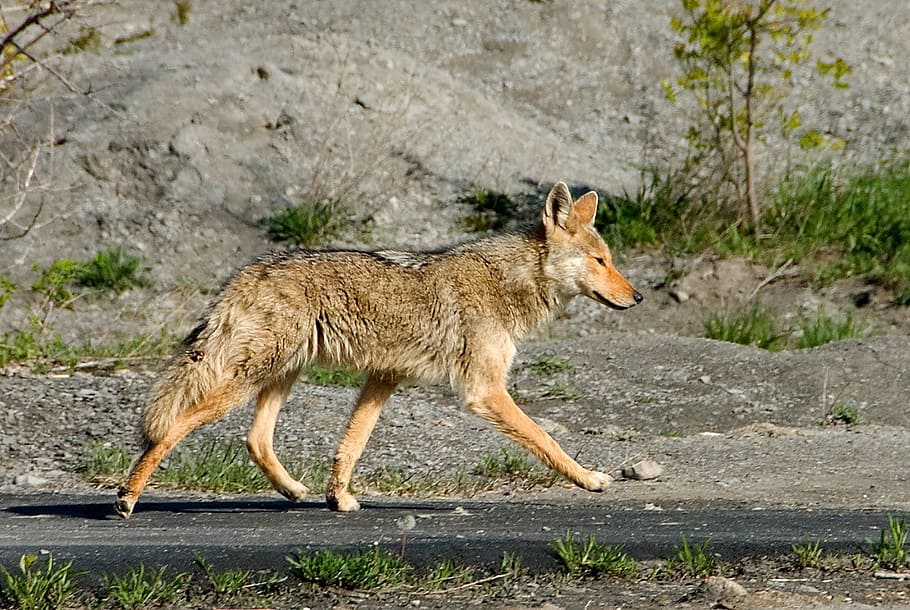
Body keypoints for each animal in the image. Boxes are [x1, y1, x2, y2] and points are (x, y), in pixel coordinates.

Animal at [114, 181, 642, 518]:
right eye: (600, 261)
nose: (637, 297)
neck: (508, 284)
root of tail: (253, 269)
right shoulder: (484, 391)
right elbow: (547, 440)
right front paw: (590, 478)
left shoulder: (384, 378)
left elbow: (351, 446)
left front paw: (339, 499)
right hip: (248, 379)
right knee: (173, 428)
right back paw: (127, 497)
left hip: (280, 375)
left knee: (255, 439)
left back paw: (295, 491)